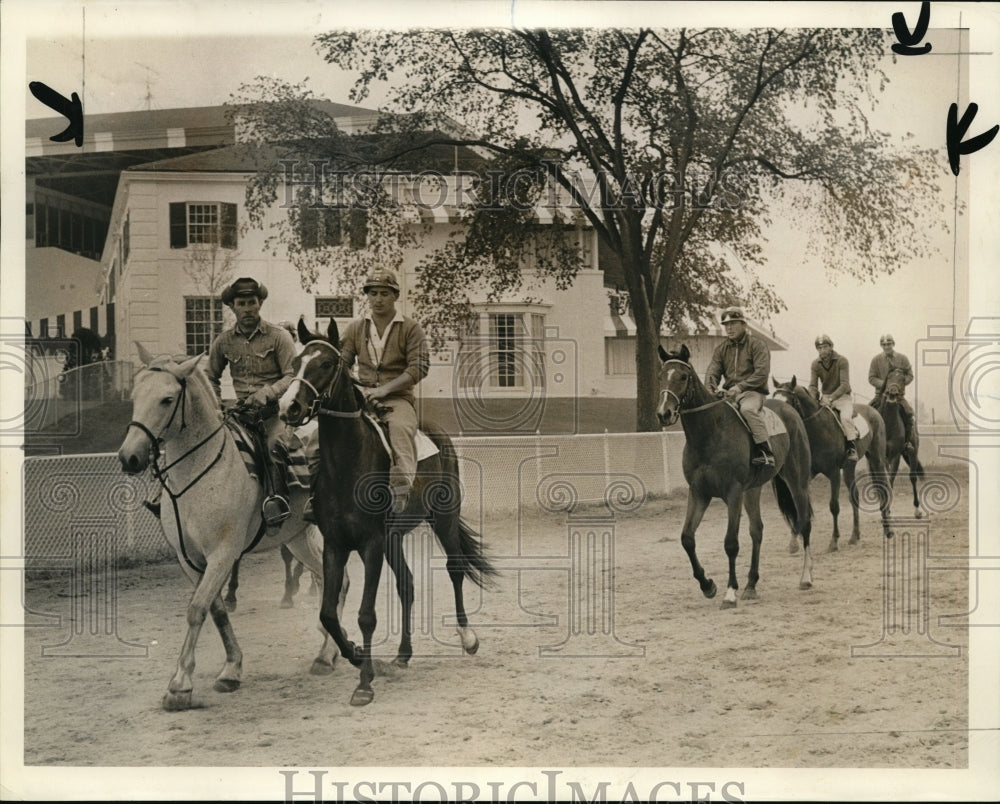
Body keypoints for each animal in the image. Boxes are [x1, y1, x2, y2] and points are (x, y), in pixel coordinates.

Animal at [115, 348, 344, 708]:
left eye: (167, 399)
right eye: (136, 396)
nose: (130, 457)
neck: (199, 476)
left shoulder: (223, 554)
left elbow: (196, 609)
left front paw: (180, 685)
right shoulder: (190, 560)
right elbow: (217, 610)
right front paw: (231, 669)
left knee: (341, 581)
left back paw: (327, 654)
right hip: (298, 539)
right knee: (327, 580)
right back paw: (329, 647)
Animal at [278, 318, 496, 708]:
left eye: (326, 364)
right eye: (296, 363)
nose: (289, 407)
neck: (347, 464)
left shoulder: (370, 545)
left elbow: (366, 615)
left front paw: (364, 681)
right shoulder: (336, 545)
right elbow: (328, 613)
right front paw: (353, 655)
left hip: (442, 520)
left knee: (455, 569)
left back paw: (467, 637)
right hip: (394, 538)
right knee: (407, 585)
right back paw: (403, 655)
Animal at [656, 342, 812, 608]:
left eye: (683, 376)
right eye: (661, 375)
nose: (664, 413)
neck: (710, 432)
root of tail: (789, 410)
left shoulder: (733, 493)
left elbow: (730, 543)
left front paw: (730, 592)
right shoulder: (699, 493)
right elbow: (687, 538)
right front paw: (708, 585)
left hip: (797, 482)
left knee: (805, 523)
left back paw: (806, 578)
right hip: (753, 490)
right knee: (757, 530)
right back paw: (751, 585)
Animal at [768, 378, 896, 552]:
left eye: (788, 402)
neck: (817, 427)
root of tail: (874, 411)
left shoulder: (834, 473)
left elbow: (834, 506)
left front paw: (834, 541)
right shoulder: (807, 475)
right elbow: (799, 504)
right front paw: (793, 542)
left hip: (877, 460)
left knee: (884, 488)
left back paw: (888, 530)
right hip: (849, 467)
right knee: (854, 496)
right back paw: (855, 536)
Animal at [880, 368, 924, 520]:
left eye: (902, 380)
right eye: (888, 377)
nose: (892, 392)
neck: (888, 424)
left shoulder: (895, 455)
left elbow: (890, 479)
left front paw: (887, 510)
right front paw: (885, 508)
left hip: (912, 452)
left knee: (913, 477)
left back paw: (917, 510)